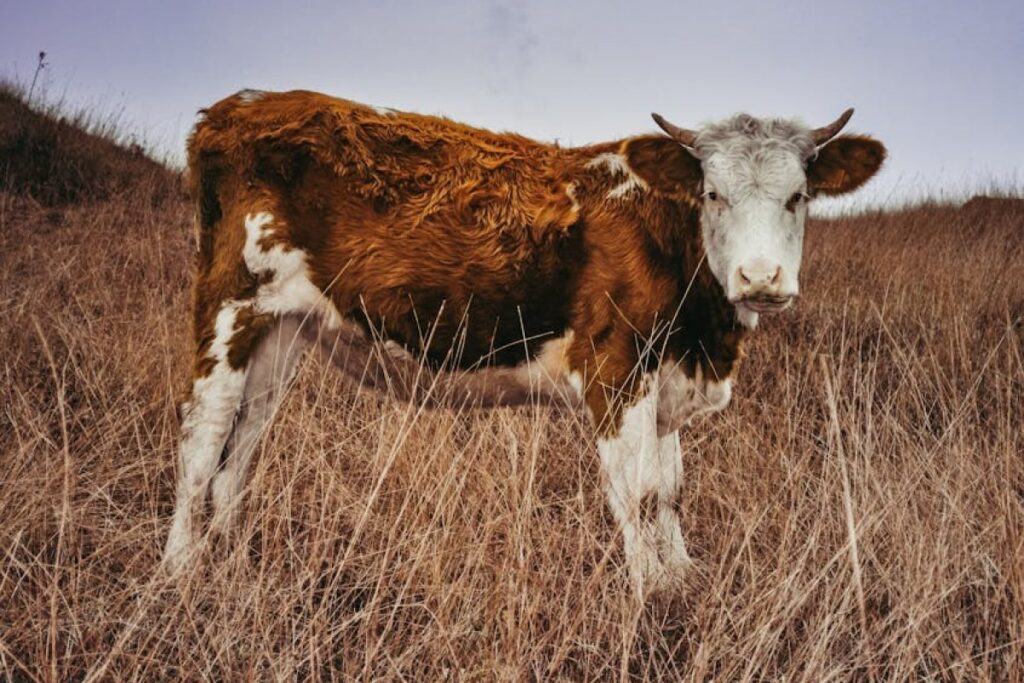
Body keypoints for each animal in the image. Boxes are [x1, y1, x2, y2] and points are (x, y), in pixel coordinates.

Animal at [162, 89, 885, 597]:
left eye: (798, 197)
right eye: (712, 193)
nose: (761, 278)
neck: (705, 334)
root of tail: (238, 106)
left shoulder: (668, 382)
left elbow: (672, 489)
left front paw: (681, 579)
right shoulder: (615, 368)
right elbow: (638, 493)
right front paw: (651, 598)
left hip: (281, 333)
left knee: (240, 450)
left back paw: (236, 570)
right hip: (228, 307)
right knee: (202, 439)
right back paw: (180, 572)